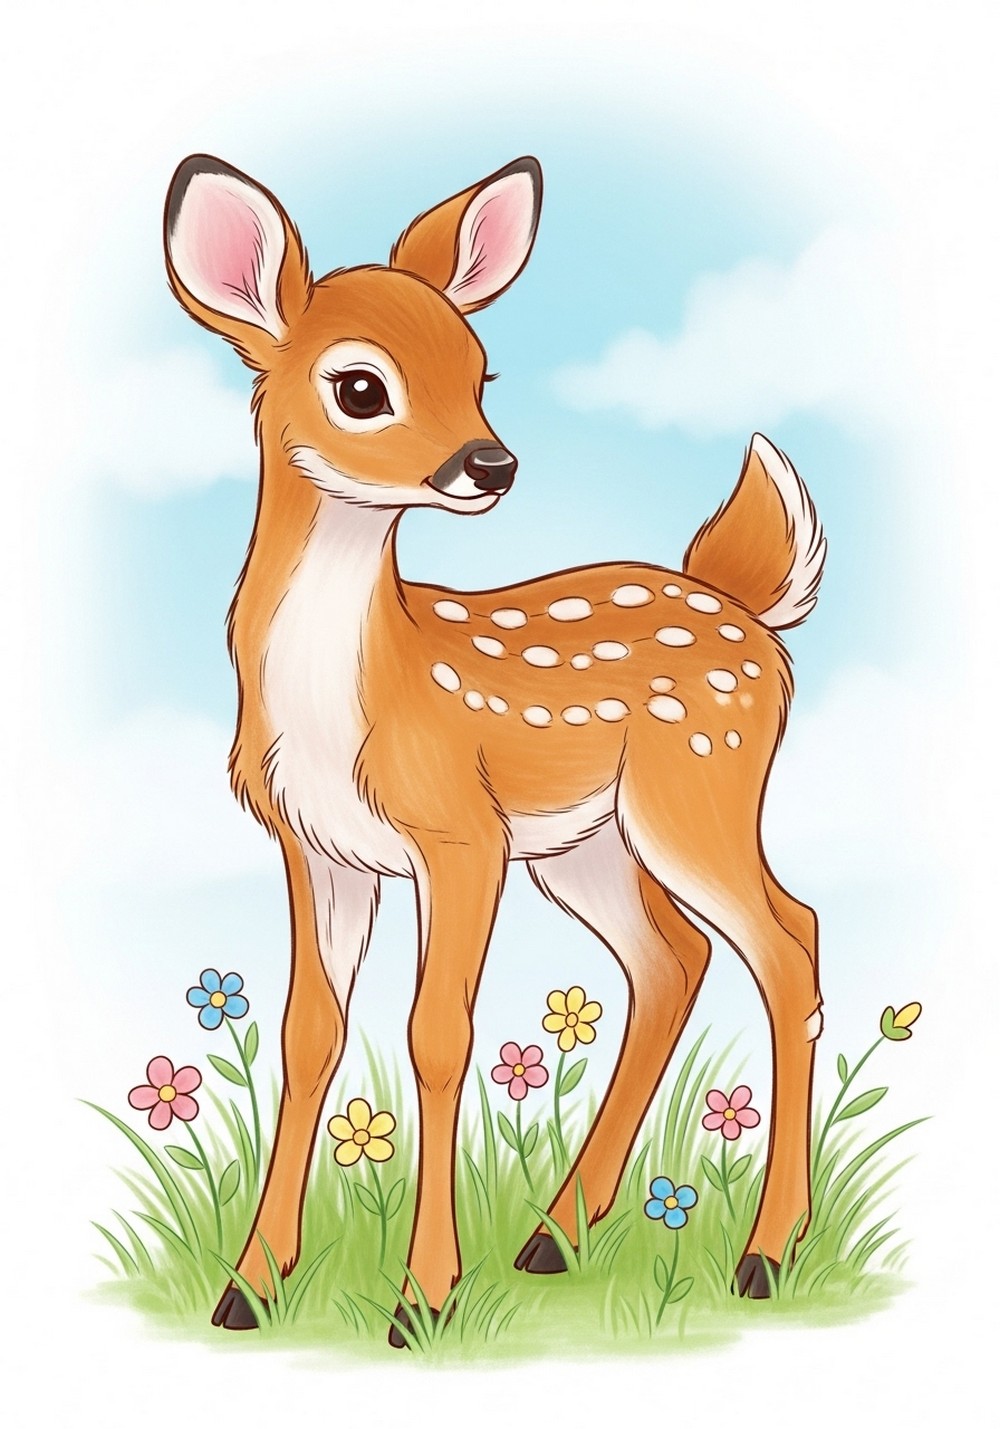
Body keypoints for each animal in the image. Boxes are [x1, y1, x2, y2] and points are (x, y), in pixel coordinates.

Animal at [163, 152, 826, 1345]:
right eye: (361, 385)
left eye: (482, 371)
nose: (491, 462)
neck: (361, 694)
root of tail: (747, 609)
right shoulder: (315, 847)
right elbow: (308, 1033)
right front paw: (249, 1286)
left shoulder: (457, 833)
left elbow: (437, 1033)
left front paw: (421, 1299)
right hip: (586, 845)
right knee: (673, 959)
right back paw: (556, 1234)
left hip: (696, 788)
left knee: (786, 940)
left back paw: (762, 1255)